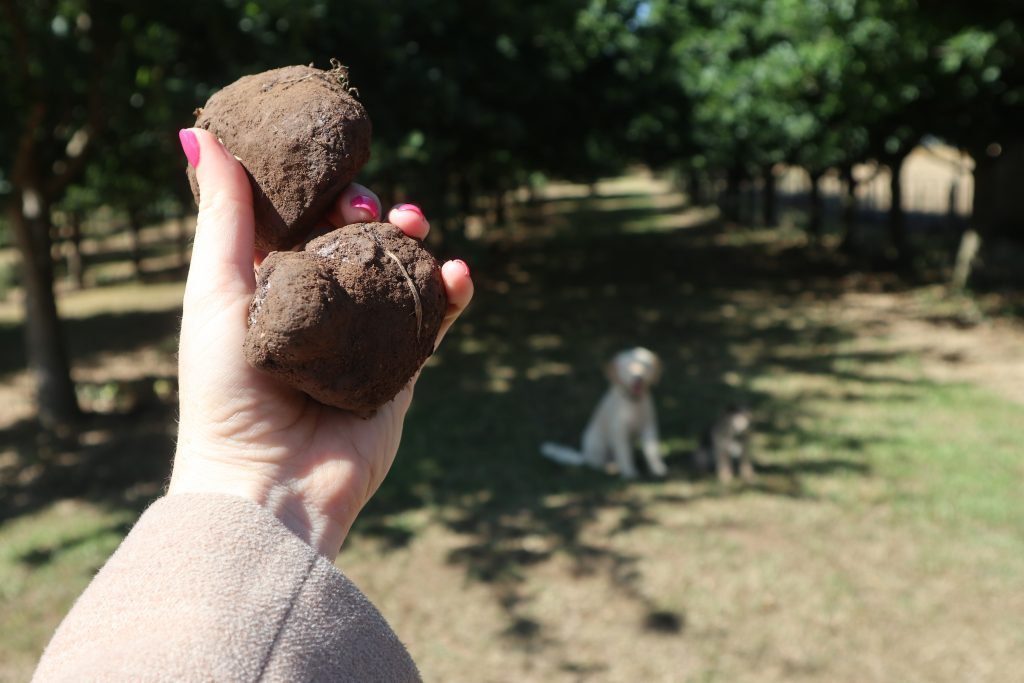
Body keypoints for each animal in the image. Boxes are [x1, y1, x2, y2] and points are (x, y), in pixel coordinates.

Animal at [540, 350, 667, 479]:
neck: (633, 403)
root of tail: (585, 455)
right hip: (598, 444)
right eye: (627, 368)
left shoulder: (649, 427)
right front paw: (629, 472)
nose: (638, 378)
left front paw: (657, 469)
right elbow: (624, 453)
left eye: (645, 366)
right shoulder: (619, 431)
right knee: (597, 463)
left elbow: (651, 451)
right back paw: (608, 467)